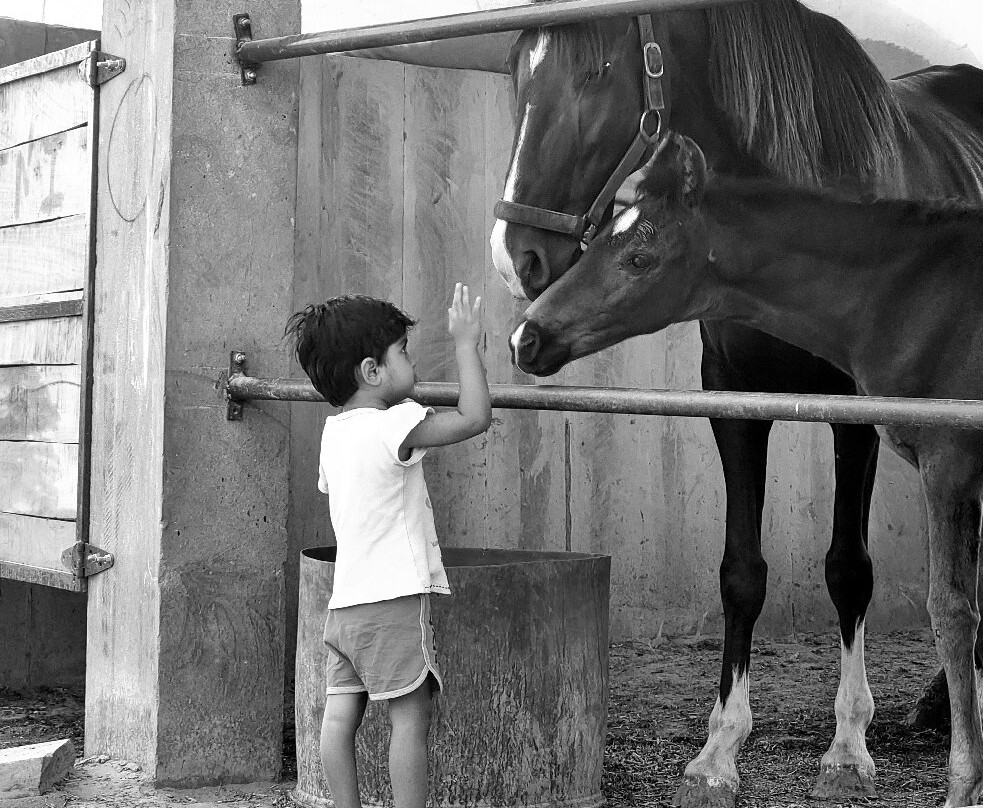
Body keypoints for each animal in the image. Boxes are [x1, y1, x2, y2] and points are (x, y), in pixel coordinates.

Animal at [490, 1, 983, 803]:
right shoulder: (732, 401)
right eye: (512, 68)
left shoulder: (858, 417)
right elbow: (740, 572)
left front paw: (848, 744)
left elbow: (850, 567)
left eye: (597, 70)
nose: (515, 258)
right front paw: (720, 748)